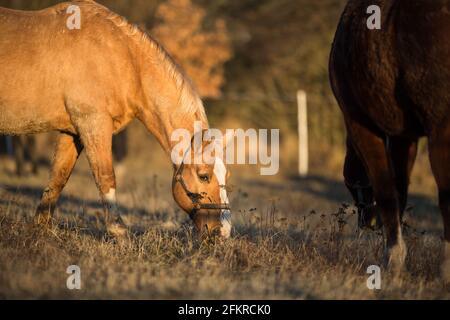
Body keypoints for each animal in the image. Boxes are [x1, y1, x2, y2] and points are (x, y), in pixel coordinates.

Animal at [0, 0, 232, 238]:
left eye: (227, 175)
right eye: (204, 176)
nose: (223, 231)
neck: (123, 60)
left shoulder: (72, 131)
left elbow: (58, 177)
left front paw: (41, 229)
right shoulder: (93, 123)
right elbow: (105, 176)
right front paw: (118, 230)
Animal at [328, 0, 448, 280]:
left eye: (352, 184)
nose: (367, 223)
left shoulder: (361, 123)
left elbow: (386, 190)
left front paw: (392, 260)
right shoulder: (404, 135)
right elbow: (400, 188)